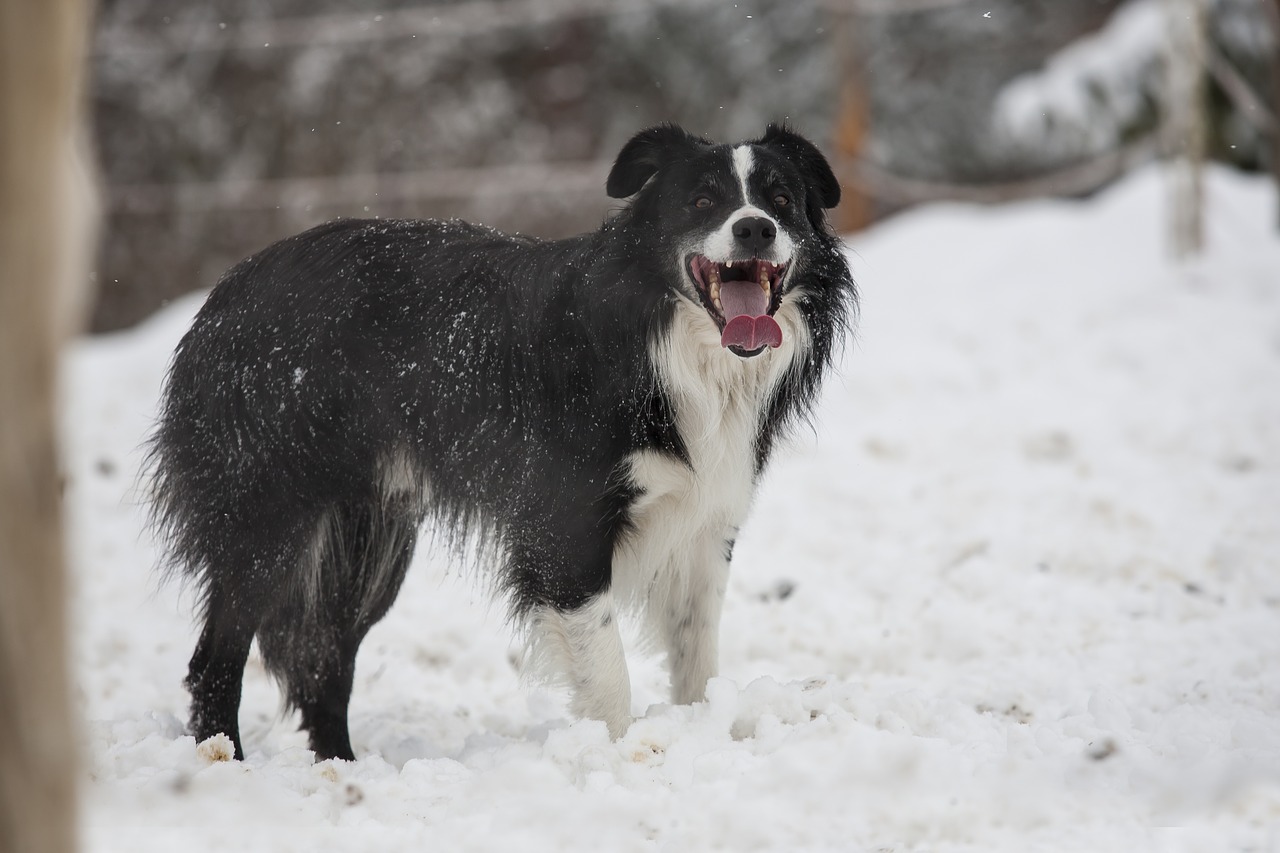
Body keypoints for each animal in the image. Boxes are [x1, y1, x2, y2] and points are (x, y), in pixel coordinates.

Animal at [145, 121, 855, 758]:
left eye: (781, 198)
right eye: (704, 200)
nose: (755, 228)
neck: (668, 344)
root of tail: (224, 293)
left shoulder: (705, 524)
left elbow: (697, 657)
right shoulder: (565, 528)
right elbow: (608, 674)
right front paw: (617, 755)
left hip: (366, 536)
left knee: (324, 660)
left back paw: (342, 769)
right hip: (269, 509)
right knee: (218, 658)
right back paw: (225, 762)